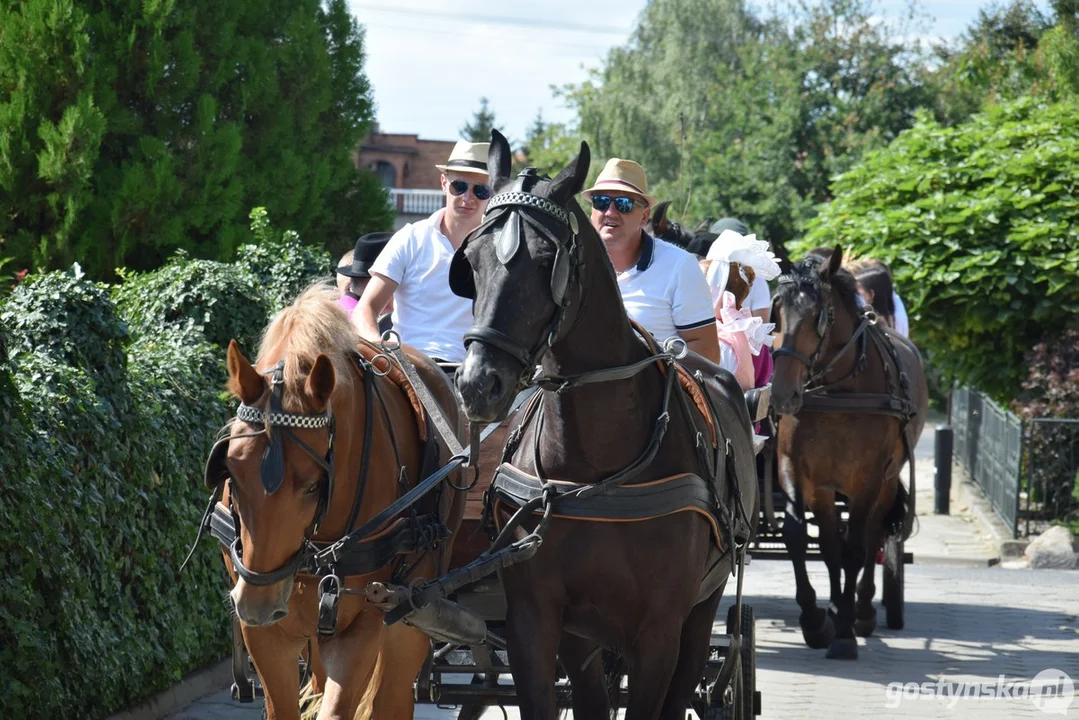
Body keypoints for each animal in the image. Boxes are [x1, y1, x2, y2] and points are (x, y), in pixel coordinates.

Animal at [203, 284, 466, 720]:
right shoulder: (266, 636)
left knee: (392, 698)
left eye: (313, 485)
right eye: (232, 474)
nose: (258, 603)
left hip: (413, 611)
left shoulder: (362, 623)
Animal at [446, 132, 759, 716]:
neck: (593, 471)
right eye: (471, 261)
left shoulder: (658, 632)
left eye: (546, 259)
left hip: (702, 609)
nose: (478, 383)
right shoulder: (540, 623)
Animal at [768, 250, 927, 660]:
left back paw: (862, 610)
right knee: (831, 544)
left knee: (872, 535)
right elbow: (802, 537)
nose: (782, 394)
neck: (837, 391)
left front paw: (843, 633)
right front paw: (814, 620)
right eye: (777, 309)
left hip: (887, 480)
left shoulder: (867, 478)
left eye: (818, 315)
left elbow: (855, 547)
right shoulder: (799, 471)